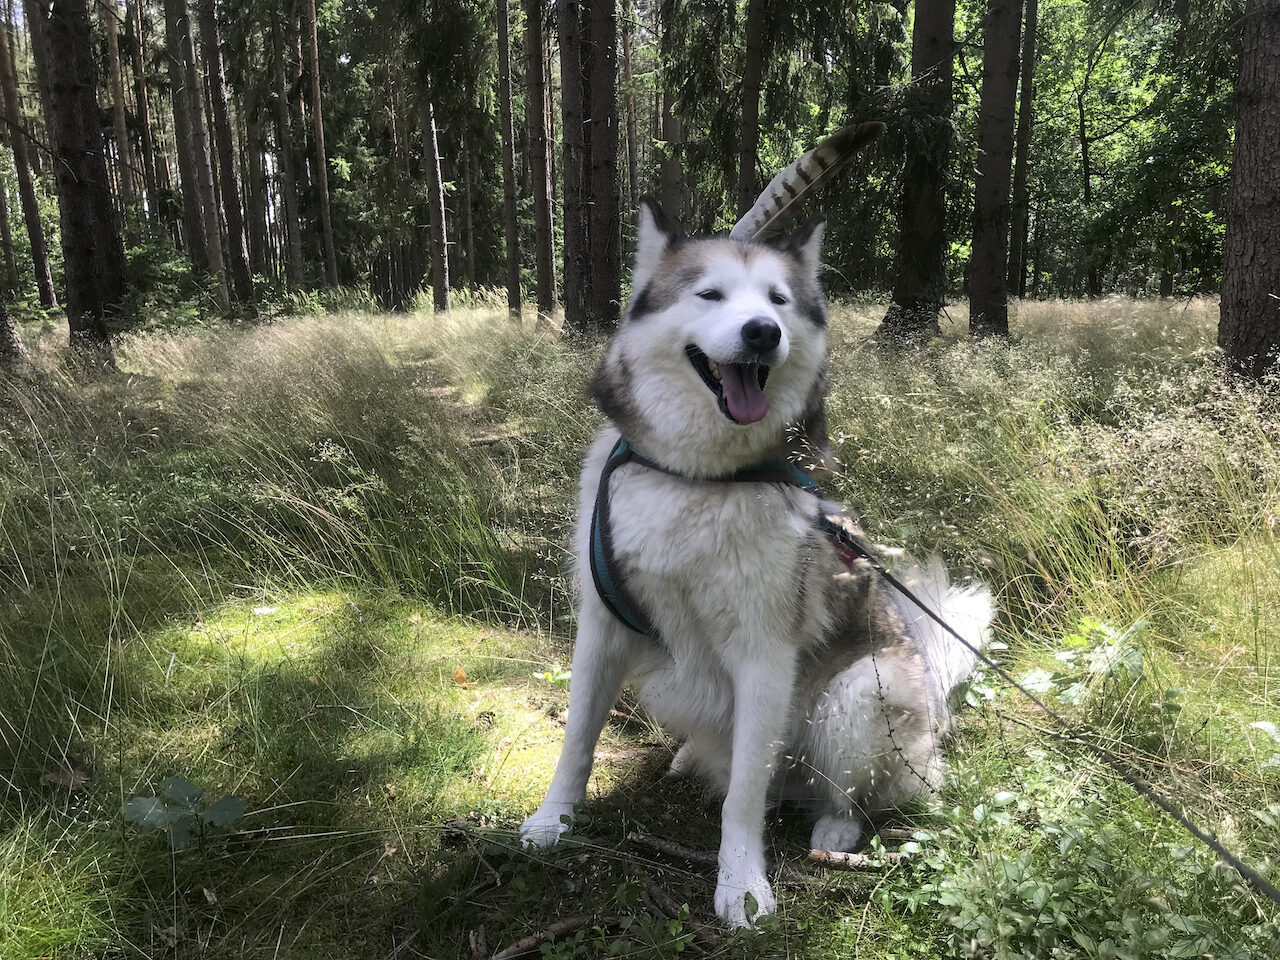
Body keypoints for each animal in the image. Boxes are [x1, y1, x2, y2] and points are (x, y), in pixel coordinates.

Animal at [519, 195, 993, 927]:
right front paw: (553, 820)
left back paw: (835, 829)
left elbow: (745, 795)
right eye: (710, 294)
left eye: (778, 300)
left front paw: (741, 882)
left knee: (838, 793)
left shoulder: (765, 650)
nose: (763, 333)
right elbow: (577, 740)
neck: (698, 478)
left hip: (864, 695)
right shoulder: (602, 626)